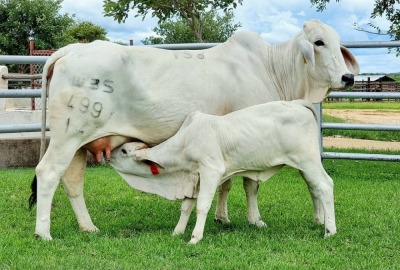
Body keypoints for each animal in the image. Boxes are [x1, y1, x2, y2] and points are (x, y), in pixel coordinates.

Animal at [111, 100, 336, 244]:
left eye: (124, 151)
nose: (108, 154)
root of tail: (299, 103)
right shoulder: (195, 177)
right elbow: (186, 206)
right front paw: (177, 232)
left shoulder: (211, 170)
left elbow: (202, 206)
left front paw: (195, 237)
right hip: (305, 165)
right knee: (314, 188)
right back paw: (320, 221)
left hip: (308, 160)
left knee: (326, 186)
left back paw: (330, 231)